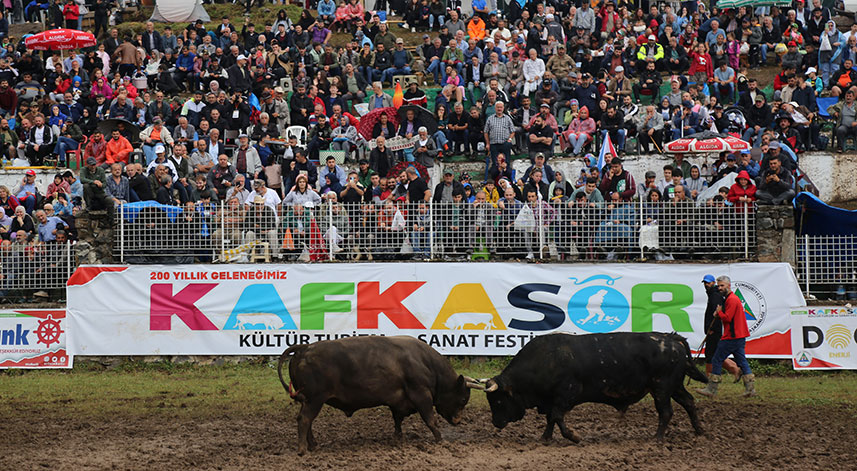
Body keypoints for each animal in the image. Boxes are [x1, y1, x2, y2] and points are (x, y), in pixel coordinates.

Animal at [482, 332, 708, 442]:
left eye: (498, 400)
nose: (495, 422)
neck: (547, 358)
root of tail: (670, 338)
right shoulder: (552, 399)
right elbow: (551, 419)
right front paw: (545, 437)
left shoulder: (566, 395)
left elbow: (556, 417)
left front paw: (574, 437)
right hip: (675, 387)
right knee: (689, 402)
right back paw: (699, 430)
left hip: (661, 388)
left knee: (666, 412)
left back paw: (658, 438)